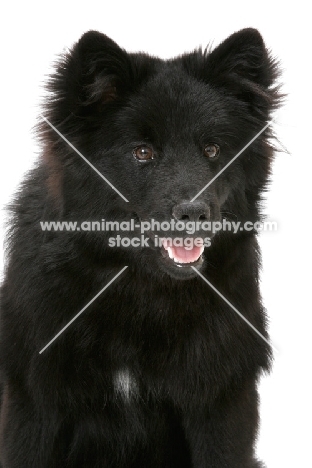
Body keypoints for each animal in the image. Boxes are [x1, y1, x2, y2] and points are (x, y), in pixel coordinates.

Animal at [0, 27, 282, 466]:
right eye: (143, 152)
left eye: (212, 150)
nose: (194, 212)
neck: (140, 291)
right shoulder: (35, 405)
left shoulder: (219, 407)